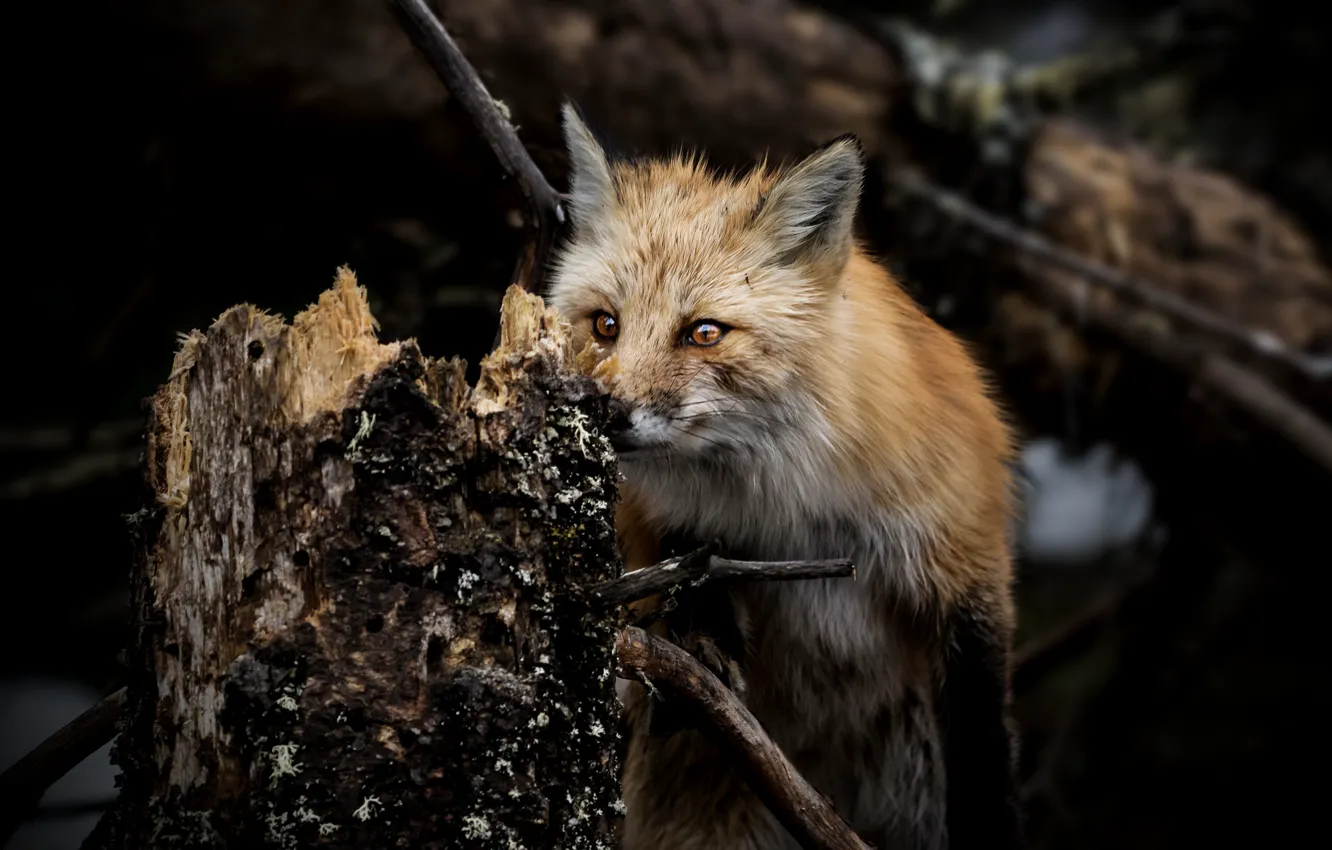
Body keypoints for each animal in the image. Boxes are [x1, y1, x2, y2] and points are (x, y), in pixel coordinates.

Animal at [545, 101, 1024, 850]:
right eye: (604, 325)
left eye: (704, 333)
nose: (609, 413)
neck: (789, 506)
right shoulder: (672, 525)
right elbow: (689, 575)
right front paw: (701, 647)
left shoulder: (963, 566)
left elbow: (981, 740)